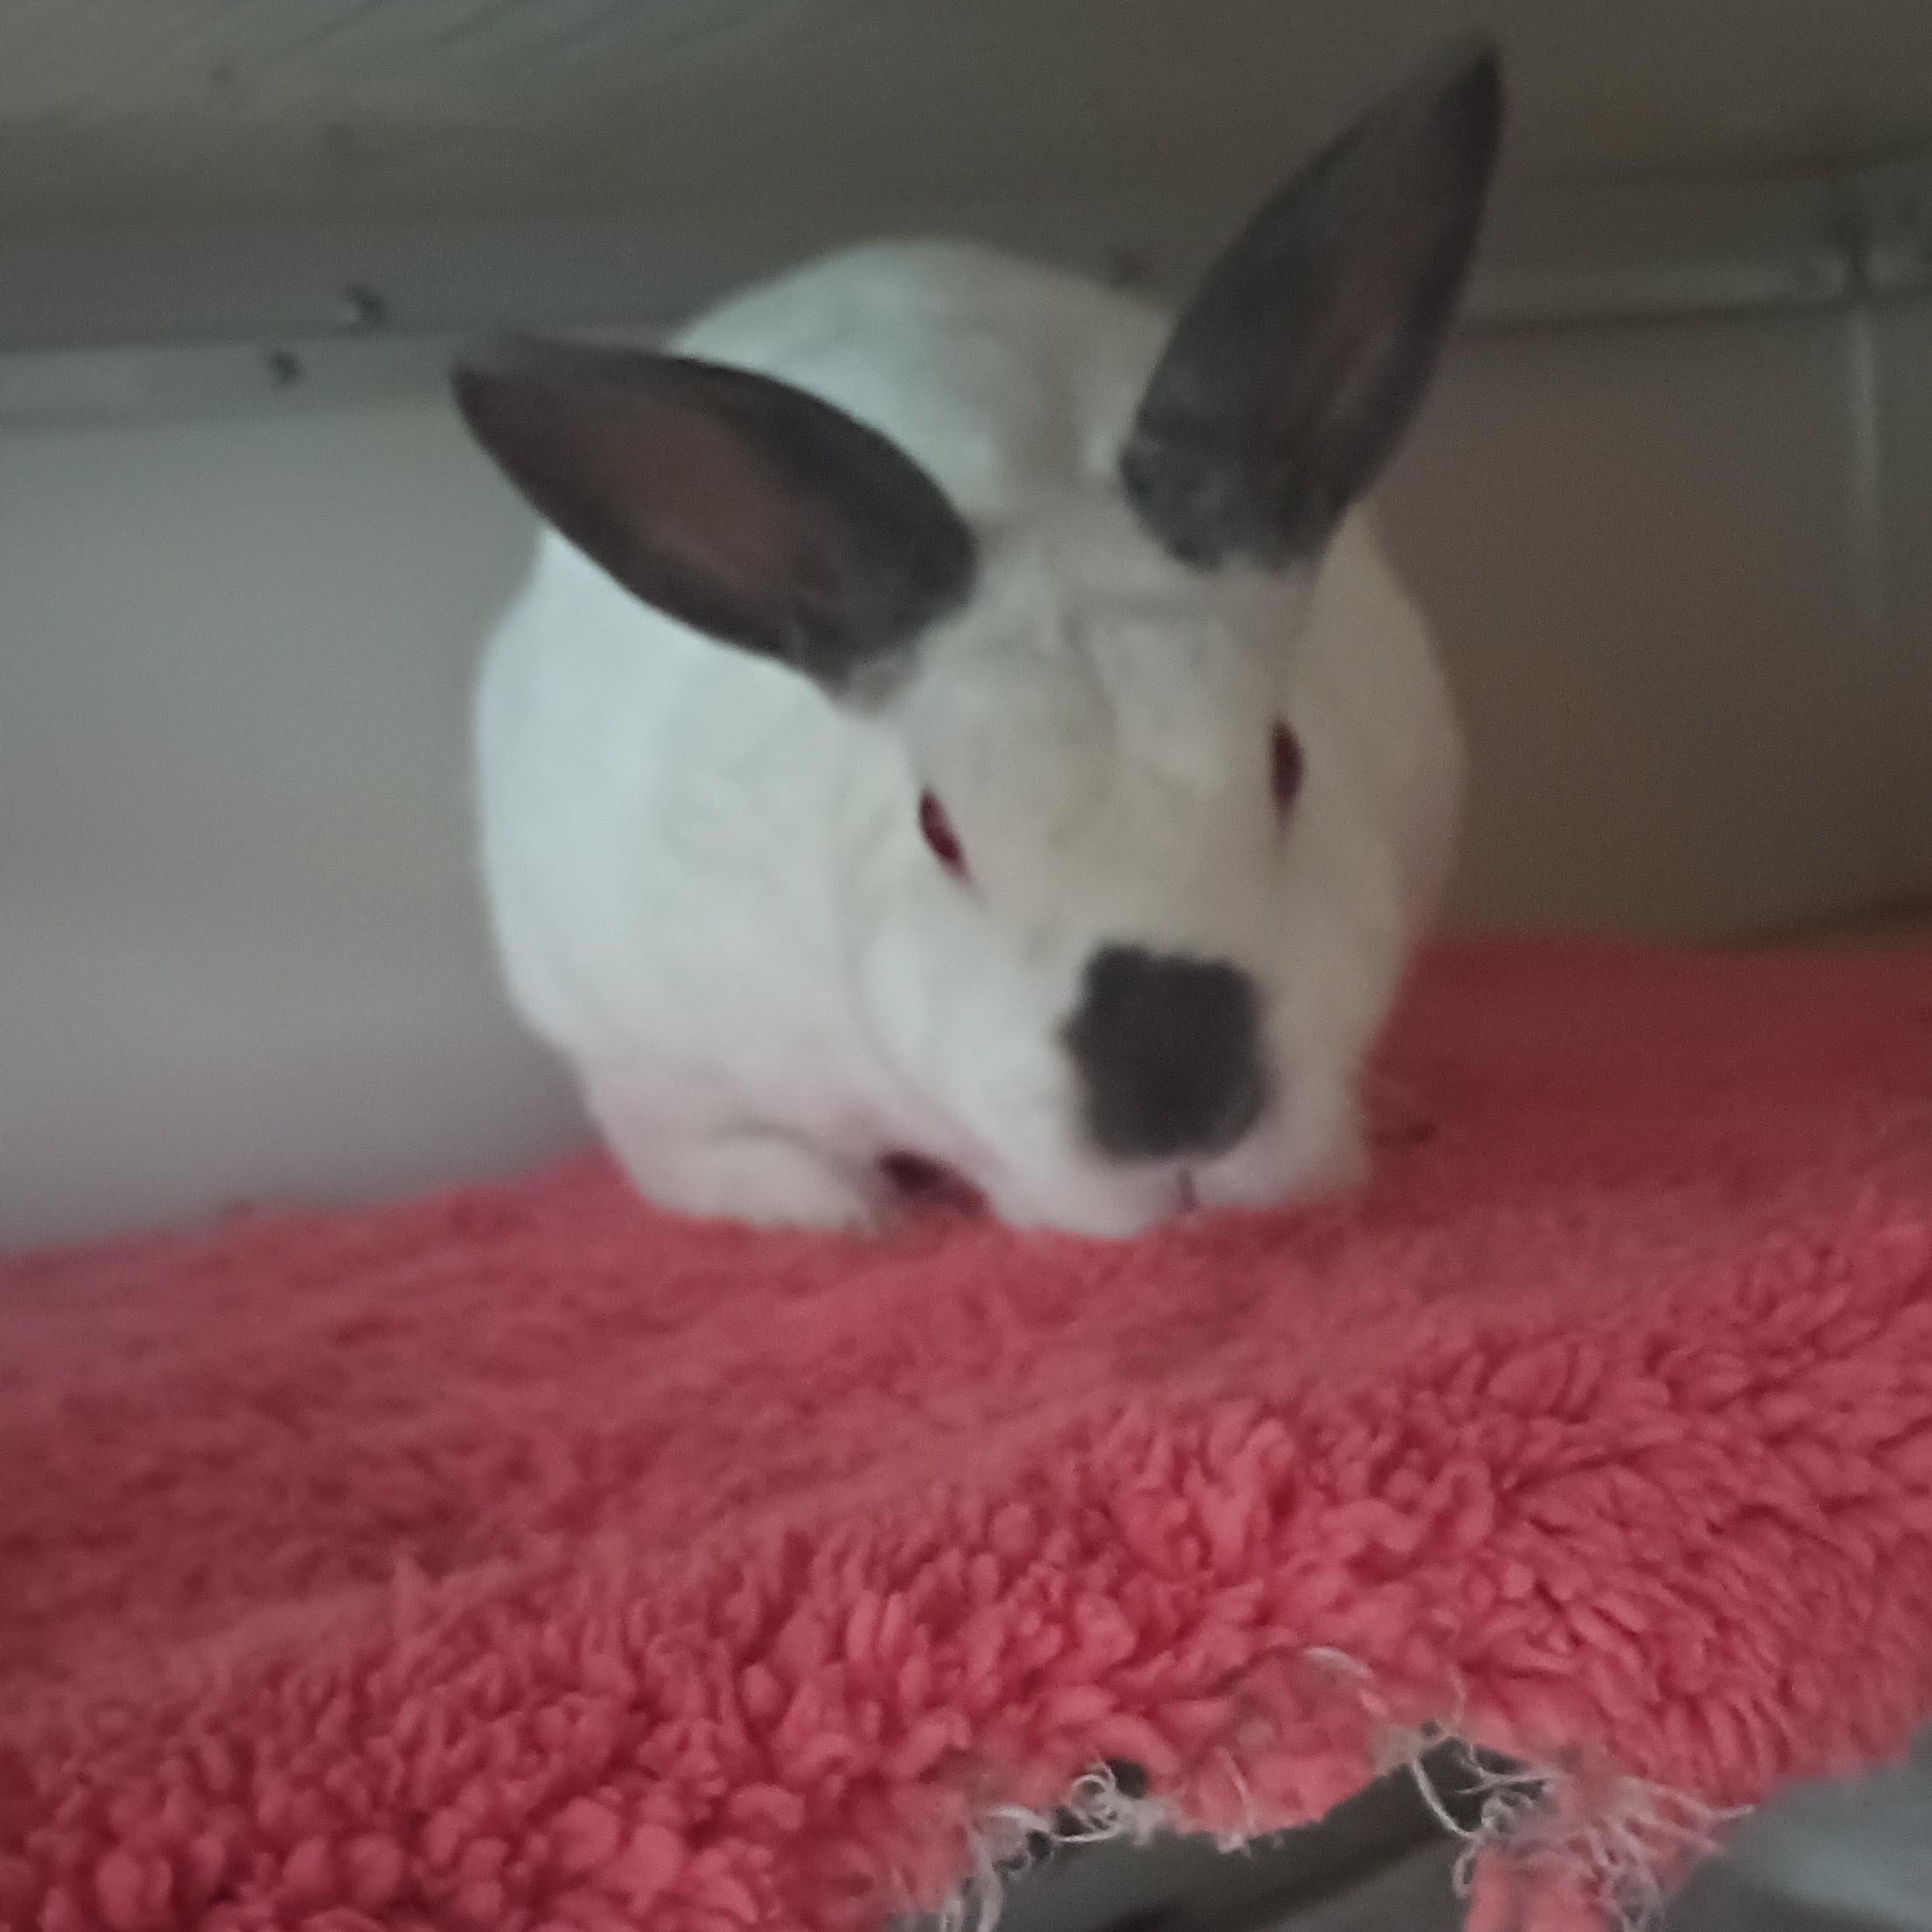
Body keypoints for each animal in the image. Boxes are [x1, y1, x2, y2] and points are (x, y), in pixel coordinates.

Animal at [455, 35, 1502, 1238]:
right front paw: (835, 1209)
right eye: (937, 829)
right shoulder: (647, 1055)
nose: (1177, 1106)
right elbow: (680, 1156)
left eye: (1286, 763)